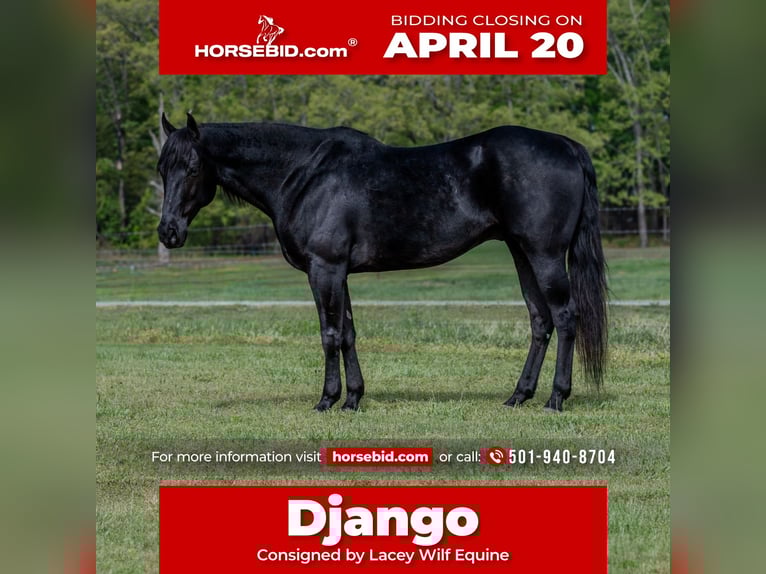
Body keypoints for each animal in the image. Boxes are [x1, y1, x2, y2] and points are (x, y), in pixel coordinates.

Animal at [157, 113, 608, 413]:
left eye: (192, 167)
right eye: (162, 168)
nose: (168, 232)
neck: (304, 173)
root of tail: (568, 146)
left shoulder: (324, 269)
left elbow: (330, 334)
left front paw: (327, 400)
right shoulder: (339, 273)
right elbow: (348, 333)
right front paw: (353, 398)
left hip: (544, 254)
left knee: (565, 317)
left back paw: (556, 398)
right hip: (521, 253)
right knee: (540, 320)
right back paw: (518, 395)